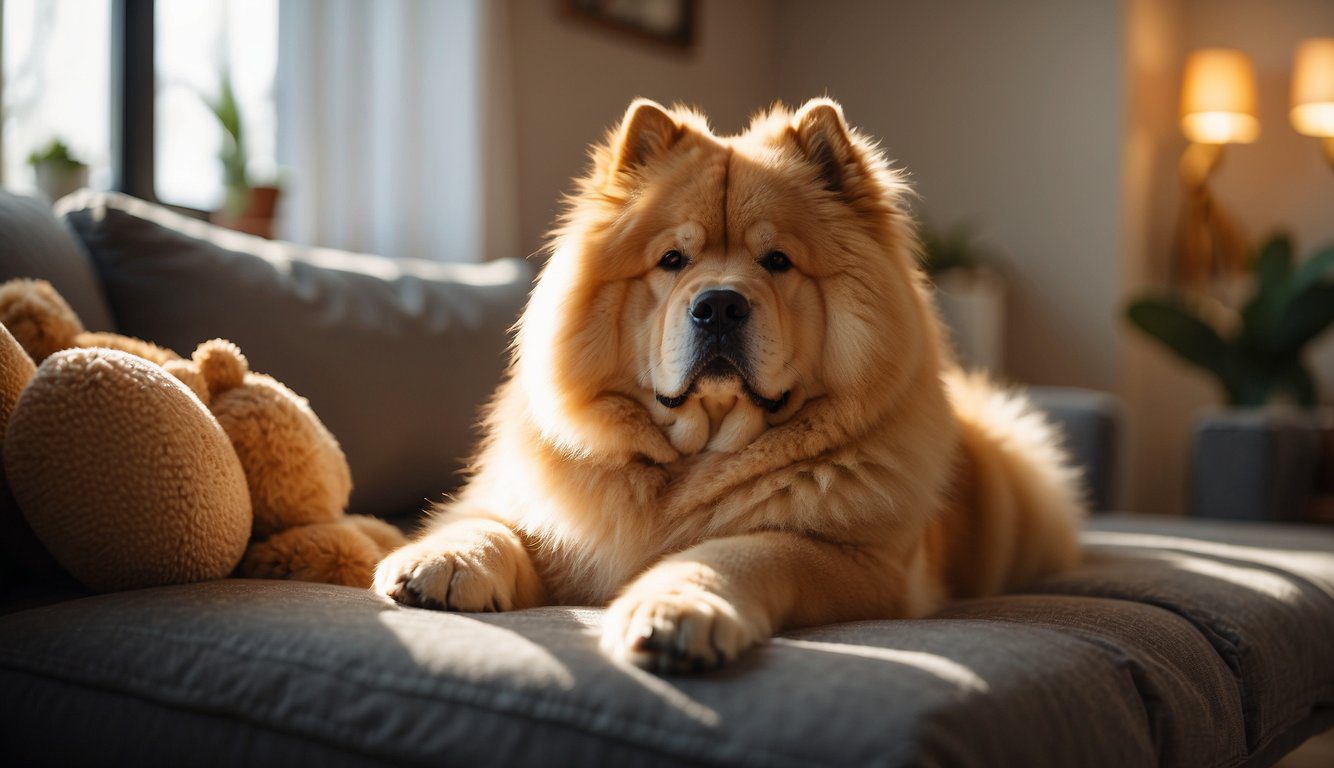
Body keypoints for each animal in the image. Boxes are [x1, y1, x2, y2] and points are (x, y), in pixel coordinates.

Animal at [376, 97, 1083, 672]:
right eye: (672, 260)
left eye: (777, 261)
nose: (718, 304)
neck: (695, 457)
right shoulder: (529, 508)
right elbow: (487, 522)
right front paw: (443, 562)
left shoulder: (861, 561)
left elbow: (745, 549)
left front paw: (676, 612)